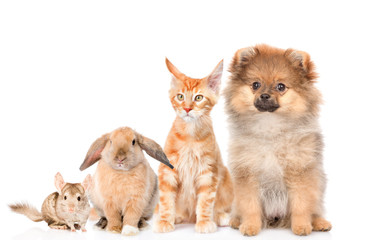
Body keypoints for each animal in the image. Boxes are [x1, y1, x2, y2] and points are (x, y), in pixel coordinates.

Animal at [153, 59, 232, 233]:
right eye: (180, 96)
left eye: (198, 98)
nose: (187, 108)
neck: (189, 135)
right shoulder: (167, 170)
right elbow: (166, 199)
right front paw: (165, 220)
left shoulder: (208, 171)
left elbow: (205, 201)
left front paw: (204, 221)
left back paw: (221, 216)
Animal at [225, 44, 330, 235]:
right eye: (256, 84)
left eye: (280, 86)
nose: (265, 95)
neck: (270, 126)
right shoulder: (247, 173)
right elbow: (250, 206)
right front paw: (250, 226)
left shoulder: (300, 172)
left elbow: (301, 205)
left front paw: (302, 226)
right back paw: (236, 221)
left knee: (315, 208)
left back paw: (319, 222)